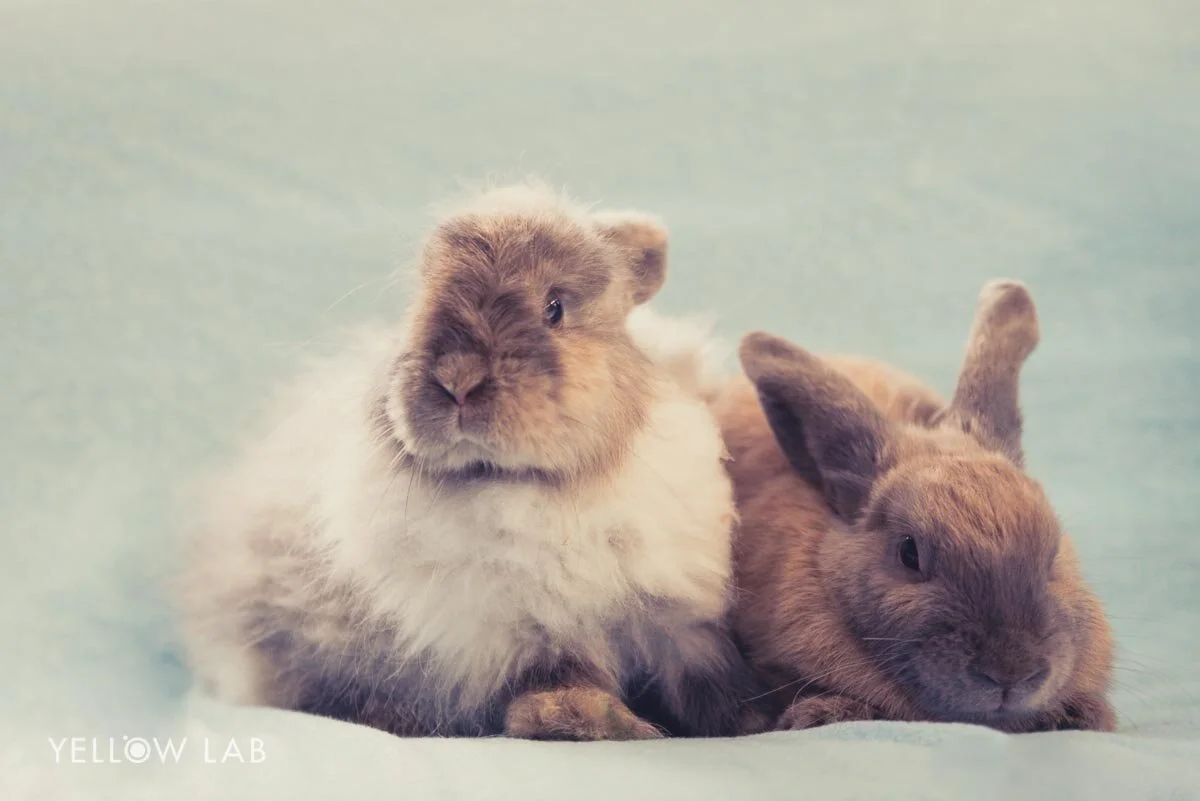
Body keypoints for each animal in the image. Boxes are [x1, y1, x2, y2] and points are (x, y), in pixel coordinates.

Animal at [178, 181, 761, 740]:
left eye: (555, 307)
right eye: (421, 300)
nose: (457, 379)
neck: (528, 489)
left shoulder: (677, 616)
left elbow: (706, 676)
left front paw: (757, 718)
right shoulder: (523, 634)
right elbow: (559, 676)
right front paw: (584, 720)